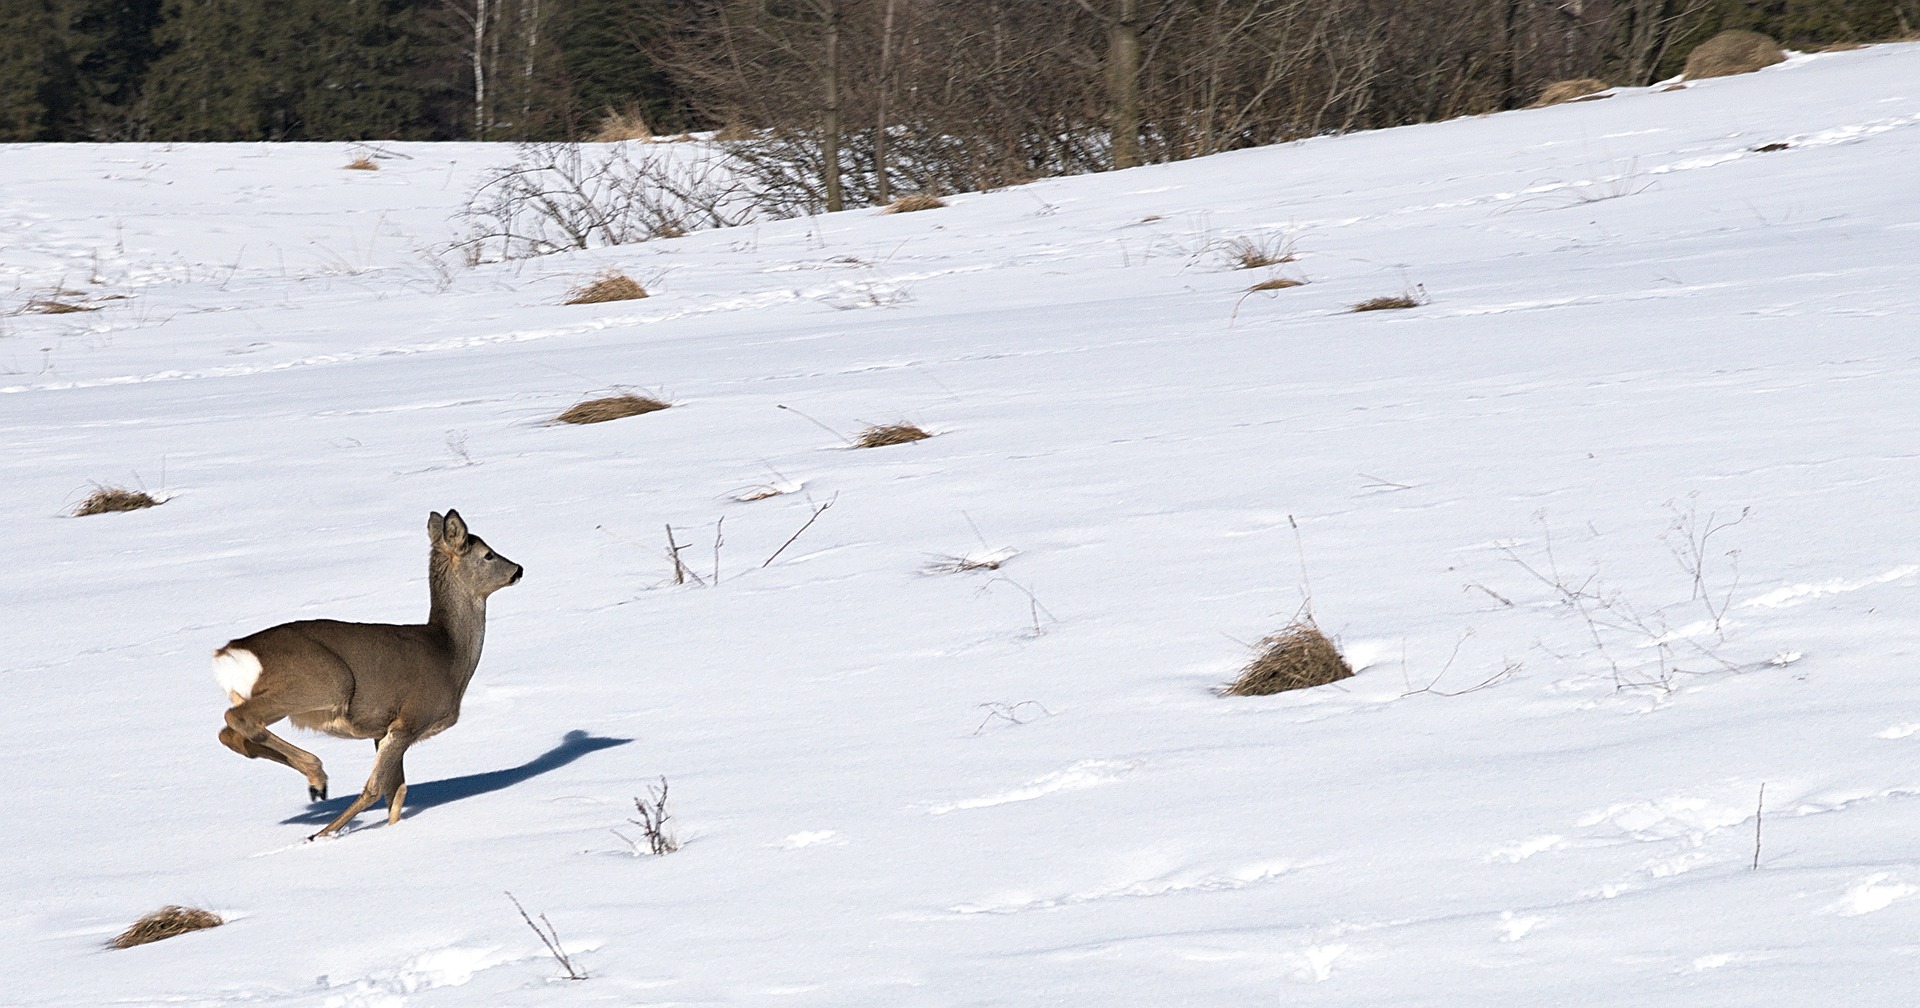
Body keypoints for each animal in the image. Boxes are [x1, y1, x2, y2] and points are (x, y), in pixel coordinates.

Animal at [216, 506, 526, 837]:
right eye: (488, 554)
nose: (518, 569)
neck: (449, 655)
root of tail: (231, 652)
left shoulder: (382, 730)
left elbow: (397, 790)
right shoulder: (409, 718)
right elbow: (375, 788)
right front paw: (321, 835)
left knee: (232, 734)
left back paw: (315, 783)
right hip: (325, 683)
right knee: (239, 719)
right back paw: (317, 778)